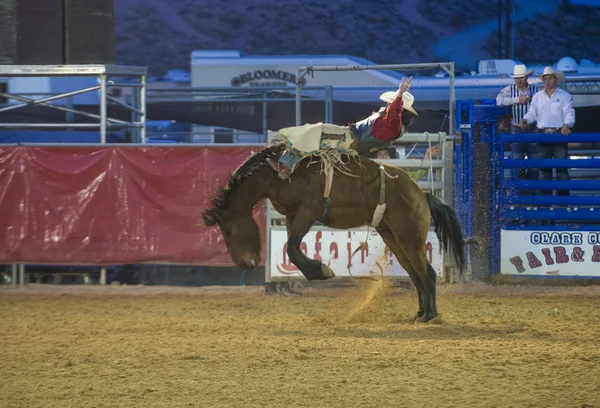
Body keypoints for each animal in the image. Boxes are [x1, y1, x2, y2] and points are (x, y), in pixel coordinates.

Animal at [204, 143, 466, 322]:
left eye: (228, 231)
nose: (244, 264)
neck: (278, 173)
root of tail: (421, 194)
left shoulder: (309, 211)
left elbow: (292, 247)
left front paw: (322, 270)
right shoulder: (291, 216)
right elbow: (292, 248)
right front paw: (318, 269)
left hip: (410, 239)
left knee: (427, 273)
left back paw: (431, 315)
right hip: (393, 237)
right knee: (415, 275)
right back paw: (420, 313)